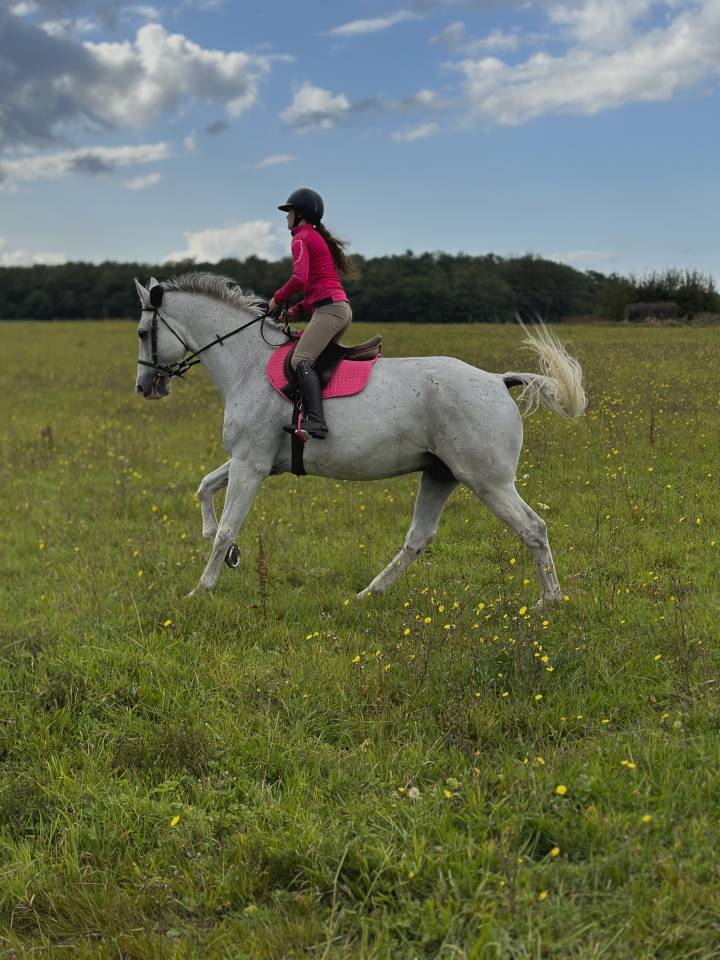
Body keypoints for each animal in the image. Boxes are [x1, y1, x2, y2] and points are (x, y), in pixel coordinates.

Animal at [134, 272, 586, 604]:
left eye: (140, 332)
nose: (145, 387)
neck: (247, 363)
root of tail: (497, 380)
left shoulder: (251, 463)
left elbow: (229, 524)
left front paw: (201, 589)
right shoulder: (257, 460)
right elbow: (205, 487)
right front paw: (221, 549)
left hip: (487, 481)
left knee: (533, 528)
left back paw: (550, 602)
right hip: (441, 474)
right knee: (418, 539)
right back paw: (368, 594)